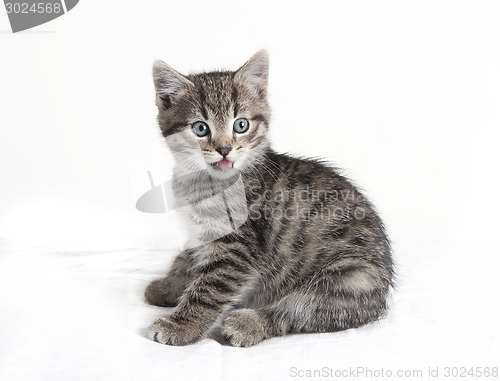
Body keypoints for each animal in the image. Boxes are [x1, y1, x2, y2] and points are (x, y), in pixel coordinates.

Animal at [145, 51, 394, 348]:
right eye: (200, 128)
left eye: (241, 125)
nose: (224, 149)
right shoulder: (199, 232)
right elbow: (187, 257)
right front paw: (168, 286)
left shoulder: (237, 248)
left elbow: (208, 289)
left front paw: (180, 325)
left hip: (350, 277)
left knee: (298, 311)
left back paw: (248, 324)